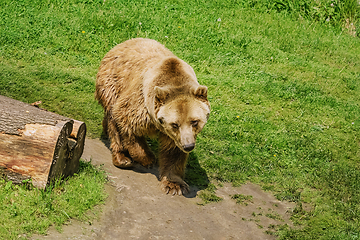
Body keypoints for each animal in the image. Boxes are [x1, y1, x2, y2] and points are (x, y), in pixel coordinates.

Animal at [95, 37, 210, 195]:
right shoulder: (140, 105)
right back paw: (122, 158)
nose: (188, 146)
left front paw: (175, 185)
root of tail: (121, 44)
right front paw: (147, 158)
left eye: (194, 121)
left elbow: (173, 152)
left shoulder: (174, 135)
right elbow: (126, 124)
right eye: (175, 124)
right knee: (113, 122)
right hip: (112, 84)